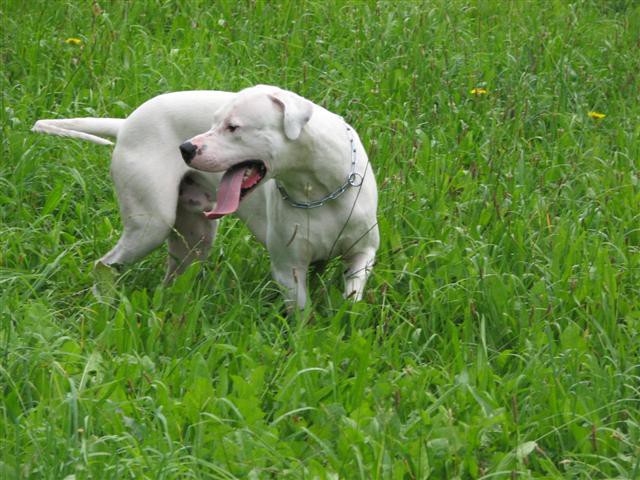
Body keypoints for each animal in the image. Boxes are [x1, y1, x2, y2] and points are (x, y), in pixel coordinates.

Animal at [32, 85, 378, 308]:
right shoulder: (288, 270)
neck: (318, 190)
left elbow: (353, 295)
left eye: (233, 127)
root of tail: (126, 123)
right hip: (150, 226)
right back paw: (104, 302)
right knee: (104, 265)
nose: (185, 148)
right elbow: (301, 318)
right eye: (212, 121)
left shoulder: (362, 254)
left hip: (194, 240)